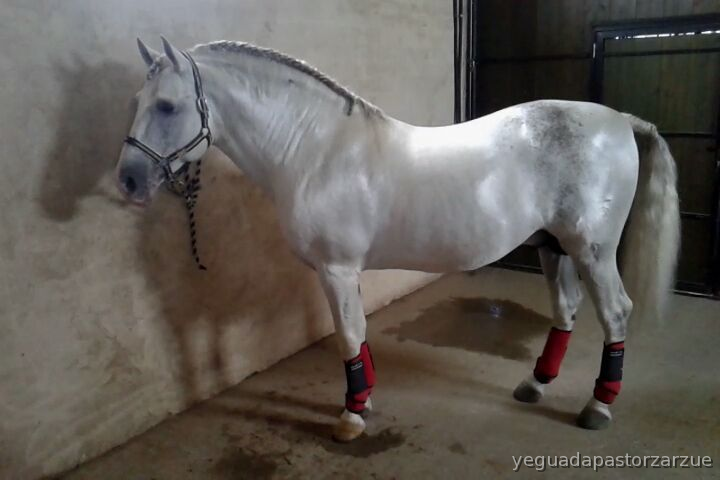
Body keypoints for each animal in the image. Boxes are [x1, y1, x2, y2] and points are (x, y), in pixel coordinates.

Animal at [115, 37, 680, 442]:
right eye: (138, 101)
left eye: (167, 107)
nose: (128, 181)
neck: (316, 150)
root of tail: (620, 121)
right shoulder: (344, 272)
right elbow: (359, 335)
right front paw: (364, 401)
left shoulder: (337, 268)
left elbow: (347, 336)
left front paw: (350, 417)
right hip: (552, 246)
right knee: (566, 311)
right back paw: (535, 385)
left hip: (591, 250)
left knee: (615, 313)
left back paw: (598, 405)